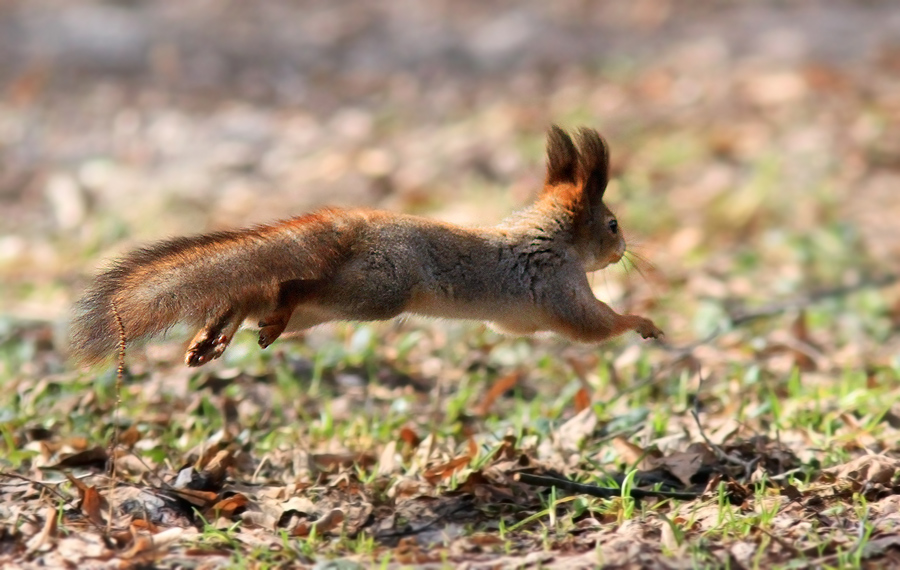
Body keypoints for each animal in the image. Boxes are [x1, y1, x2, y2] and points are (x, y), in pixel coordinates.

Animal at [68, 125, 660, 366]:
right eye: (611, 224)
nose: (624, 250)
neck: (546, 234)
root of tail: (353, 224)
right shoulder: (559, 284)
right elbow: (591, 325)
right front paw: (642, 323)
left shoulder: (519, 318)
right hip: (377, 290)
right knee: (293, 283)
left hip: (330, 306)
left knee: (255, 294)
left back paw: (214, 336)